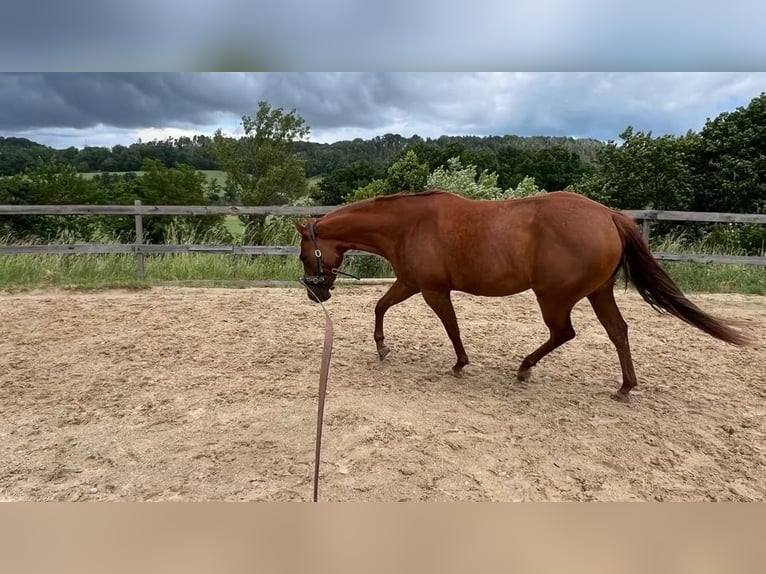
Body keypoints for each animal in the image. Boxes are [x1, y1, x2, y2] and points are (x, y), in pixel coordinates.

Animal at [294, 189, 752, 402]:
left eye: (302, 254)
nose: (317, 296)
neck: (409, 225)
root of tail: (607, 215)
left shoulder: (432, 290)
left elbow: (451, 328)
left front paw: (459, 364)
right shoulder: (410, 283)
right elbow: (380, 305)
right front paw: (382, 347)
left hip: (554, 297)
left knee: (564, 333)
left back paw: (524, 368)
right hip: (598, 293)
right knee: (618, 331)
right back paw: (624, 387)